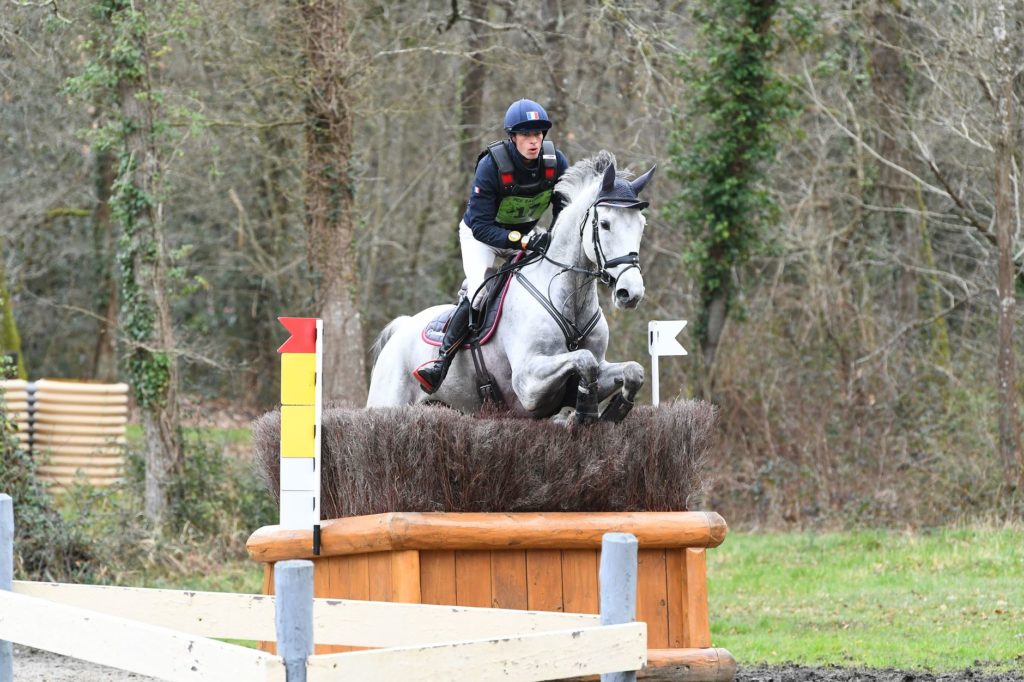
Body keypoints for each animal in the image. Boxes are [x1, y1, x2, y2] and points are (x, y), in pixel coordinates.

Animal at [368, 151, 655, 421]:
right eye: (605, 224)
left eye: (642, 225)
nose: (631, 292)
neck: (569, 298)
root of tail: (402, 327)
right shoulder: (527, 384)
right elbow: (584, 360)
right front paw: (584, 411)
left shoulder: (601, 365)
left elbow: (633, 370)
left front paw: (613, 411)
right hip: (386, 399)